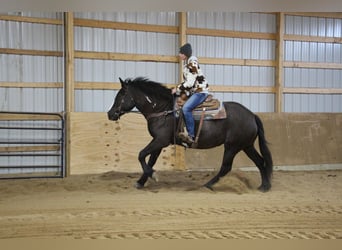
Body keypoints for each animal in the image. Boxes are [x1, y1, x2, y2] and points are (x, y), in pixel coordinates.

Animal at [107, 76, 272, 191]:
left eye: (120, 96)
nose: (110, 114)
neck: (163, 109)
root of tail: (252, 115)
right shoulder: (159, 142)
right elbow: (150, 160)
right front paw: (141, 181)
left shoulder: (160, 140)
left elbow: (141, 155)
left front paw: (153, 175)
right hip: (246, 145)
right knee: (260, 161)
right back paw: (264, 186)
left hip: (232, 146)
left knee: (226, 167)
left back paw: (207, 185)